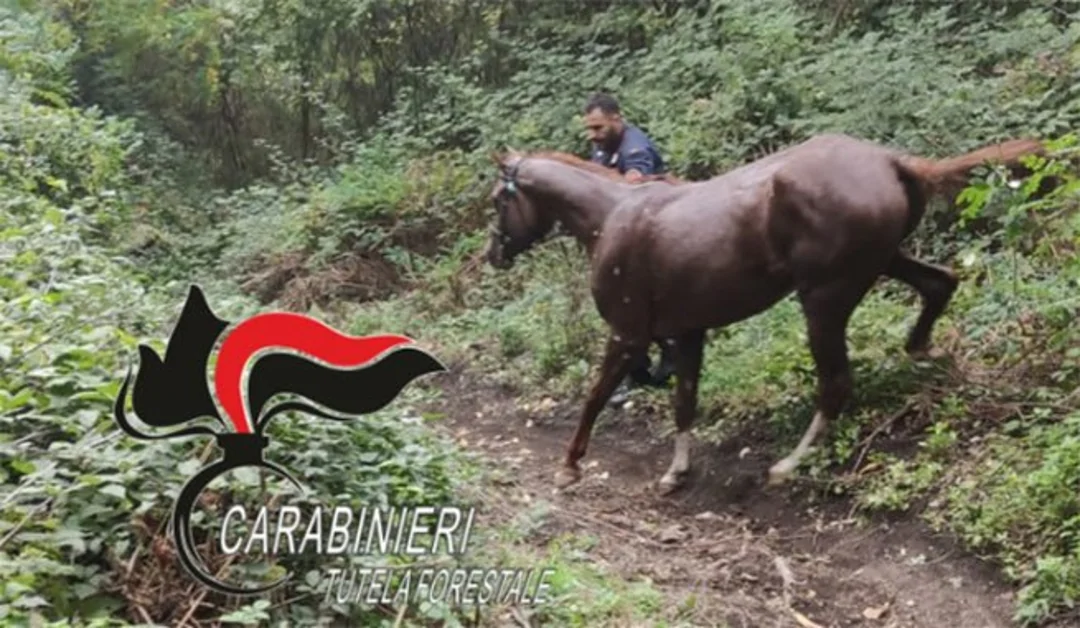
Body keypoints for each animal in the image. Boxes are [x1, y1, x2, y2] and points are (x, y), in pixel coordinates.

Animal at [482, 133, 1044, 494]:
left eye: (496, 201)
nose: (492, 255)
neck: (612, 215)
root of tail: (891, 162)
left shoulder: (627, 334)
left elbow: (596, 396)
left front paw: (570, 465)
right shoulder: (688, 332)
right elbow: (683, 401)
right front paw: (676, 472)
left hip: (824, 300)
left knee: (835, 384)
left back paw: (788, 465)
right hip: (885, 262)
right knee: (939, 284)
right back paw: (923, 349)